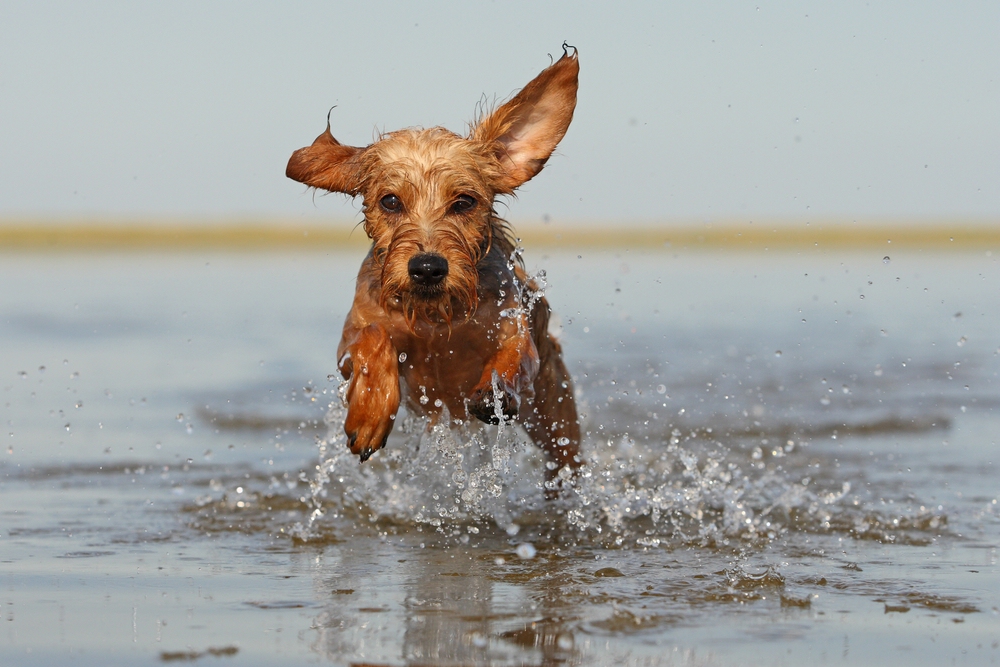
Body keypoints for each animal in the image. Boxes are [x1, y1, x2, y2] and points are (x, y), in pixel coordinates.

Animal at [286, 45, 584, 486]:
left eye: (464, 202)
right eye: (390, 201)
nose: (427, 267)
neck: (434, 318)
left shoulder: (513, 328)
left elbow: (513, 355)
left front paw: (495, 389)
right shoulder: (349, 342)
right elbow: (374, 337)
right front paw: (370, 412)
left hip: (558, 423)